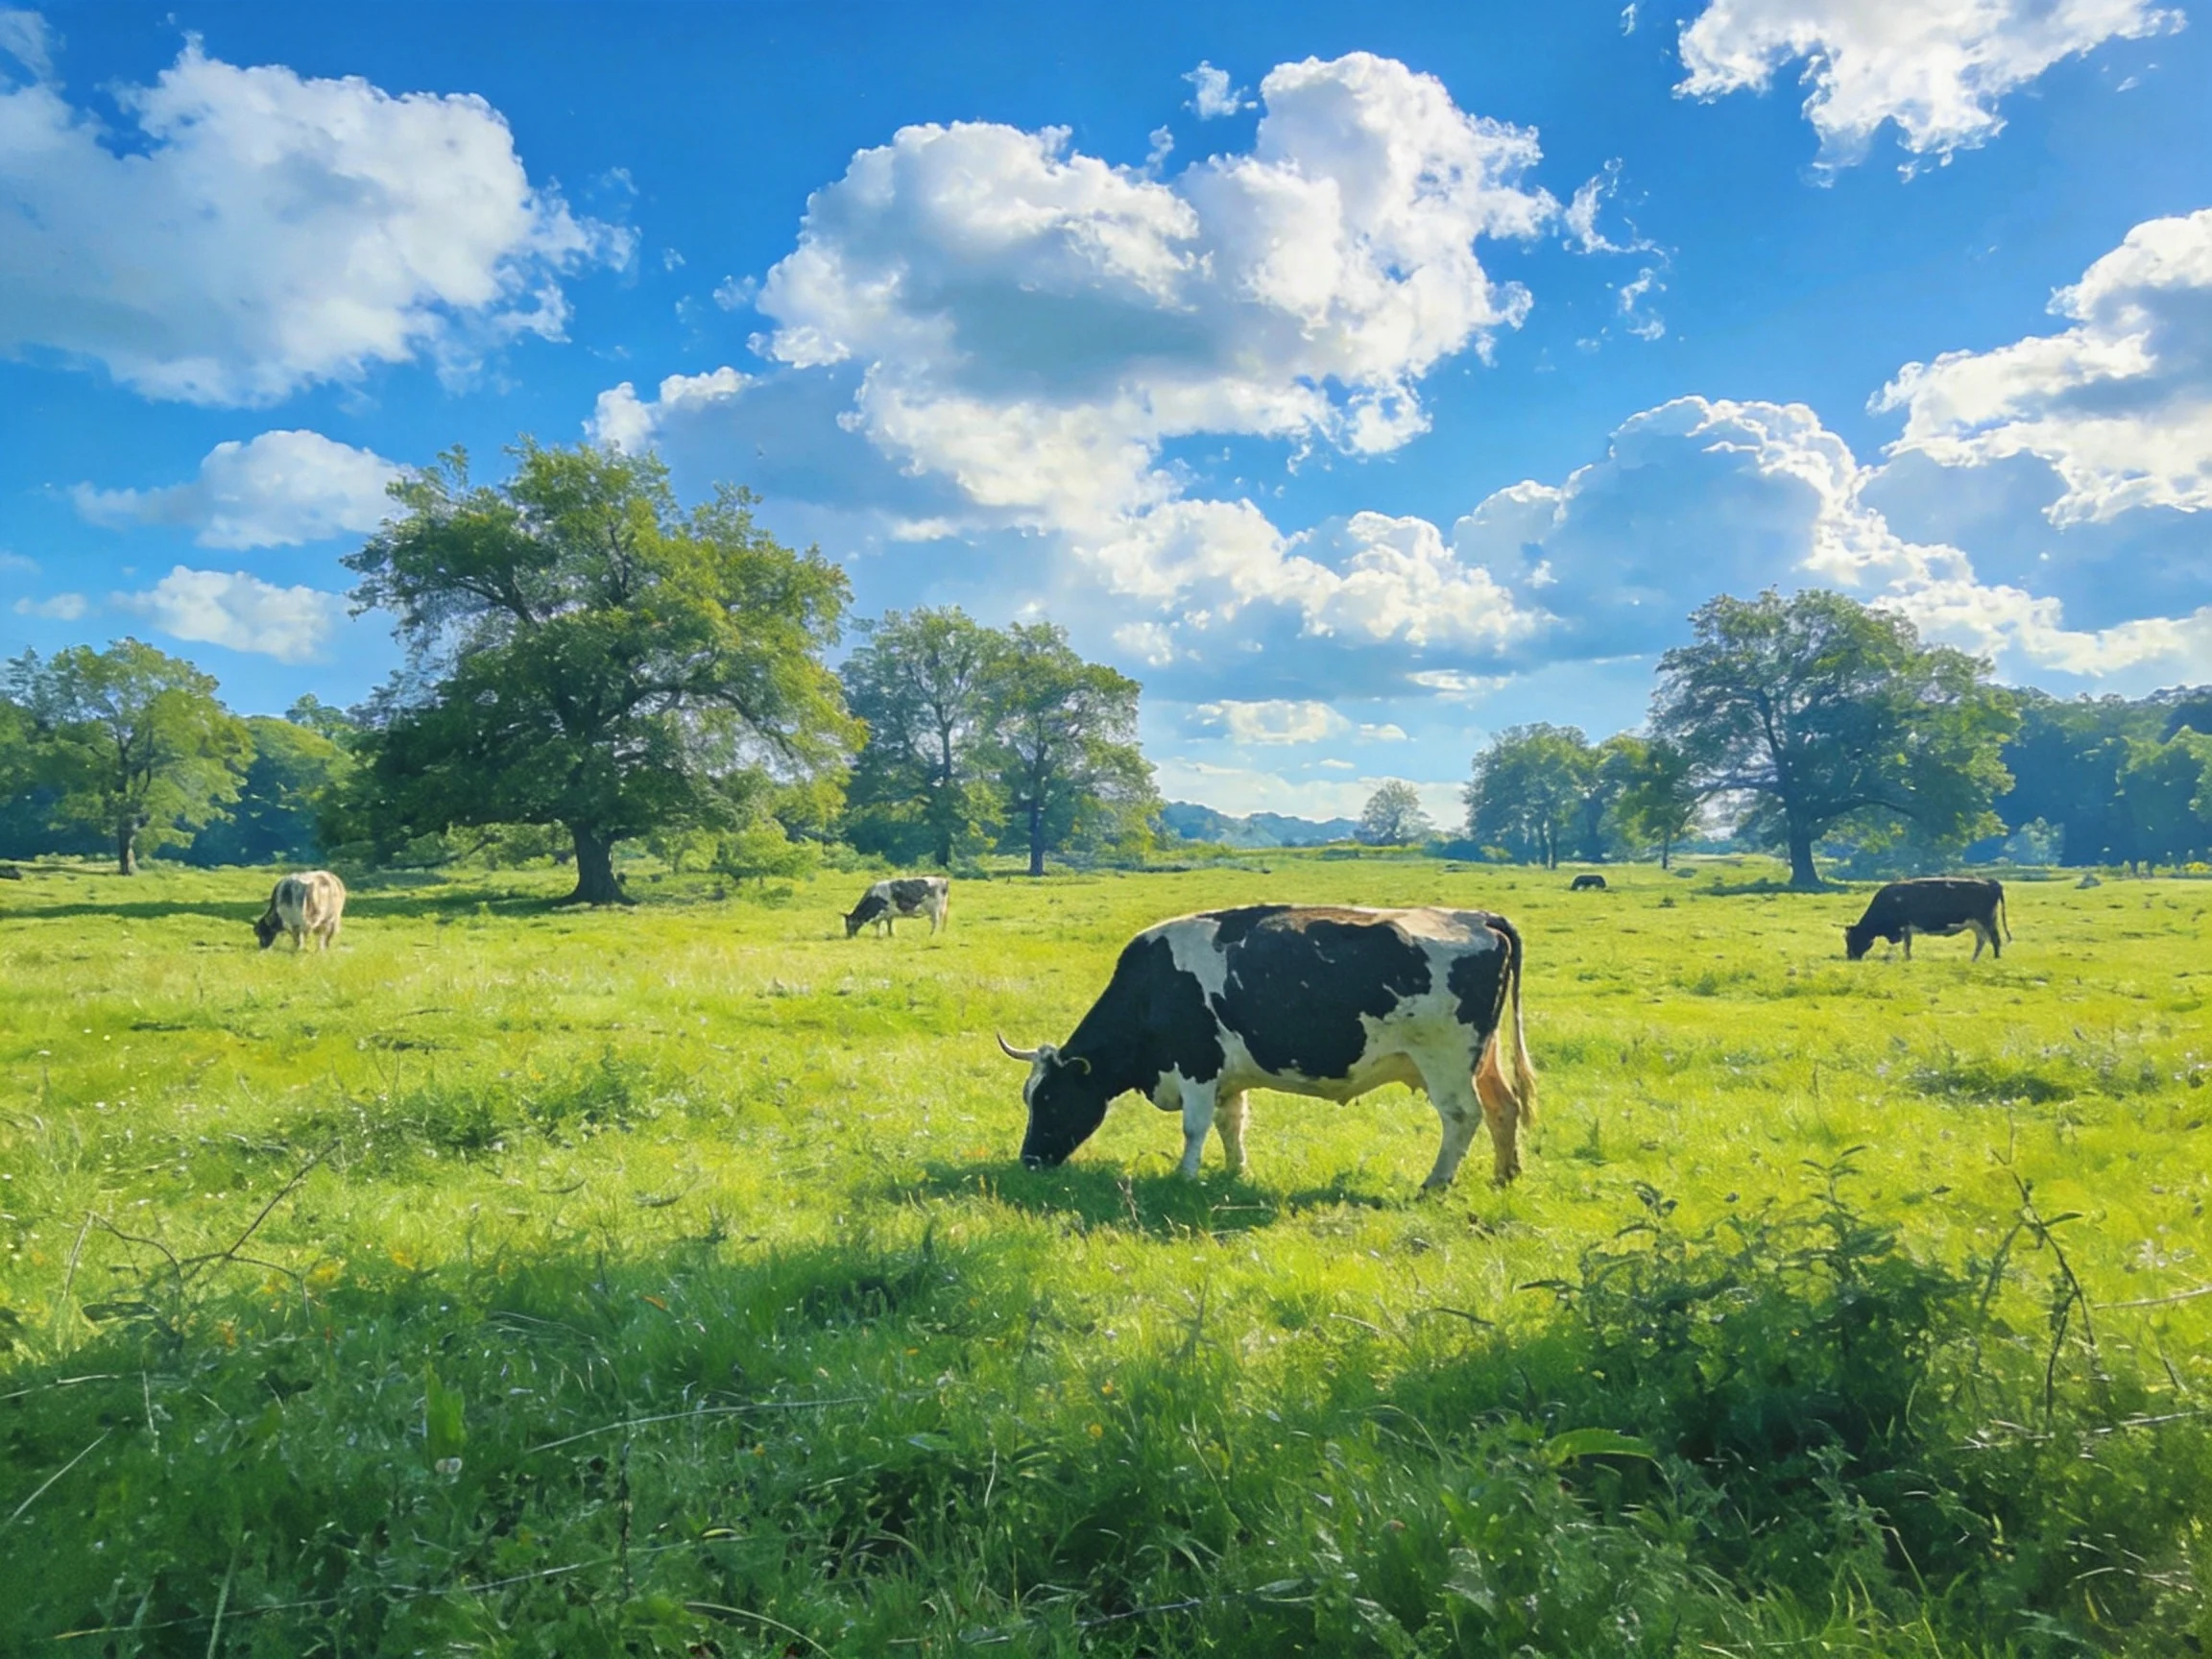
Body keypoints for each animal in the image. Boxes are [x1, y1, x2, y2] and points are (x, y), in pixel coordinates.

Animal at [995, 905, 1536, 1189]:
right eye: (1029, 1098)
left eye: (1050, 1099)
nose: (1029, 1160)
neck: (1154, 987)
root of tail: (1478, 917)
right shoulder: (1227, 1076)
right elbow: (1230, 1122)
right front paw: (1235, 1170)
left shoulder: (1197, 1066)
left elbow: (1194, 1127)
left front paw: (1185, 1176)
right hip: (1482, 1059)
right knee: (1503, 1106)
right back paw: (1505, 1175)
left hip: (1445, 1061)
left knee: (1463, 1115)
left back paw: (1435, 1184)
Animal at [1844, 877, 2010, 961]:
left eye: (1854, 938)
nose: (1850, 957)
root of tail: (1991, 882)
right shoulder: (1907, 929)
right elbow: (1907, 944)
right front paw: (1908, 958)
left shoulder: (1904, 926)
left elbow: (1907, 945)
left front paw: (1908, 958)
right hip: (1977, 924)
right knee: (1982, 941)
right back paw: (1973, 960)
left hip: (1987, 920)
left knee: (1995, 939)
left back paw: (1996, 958)